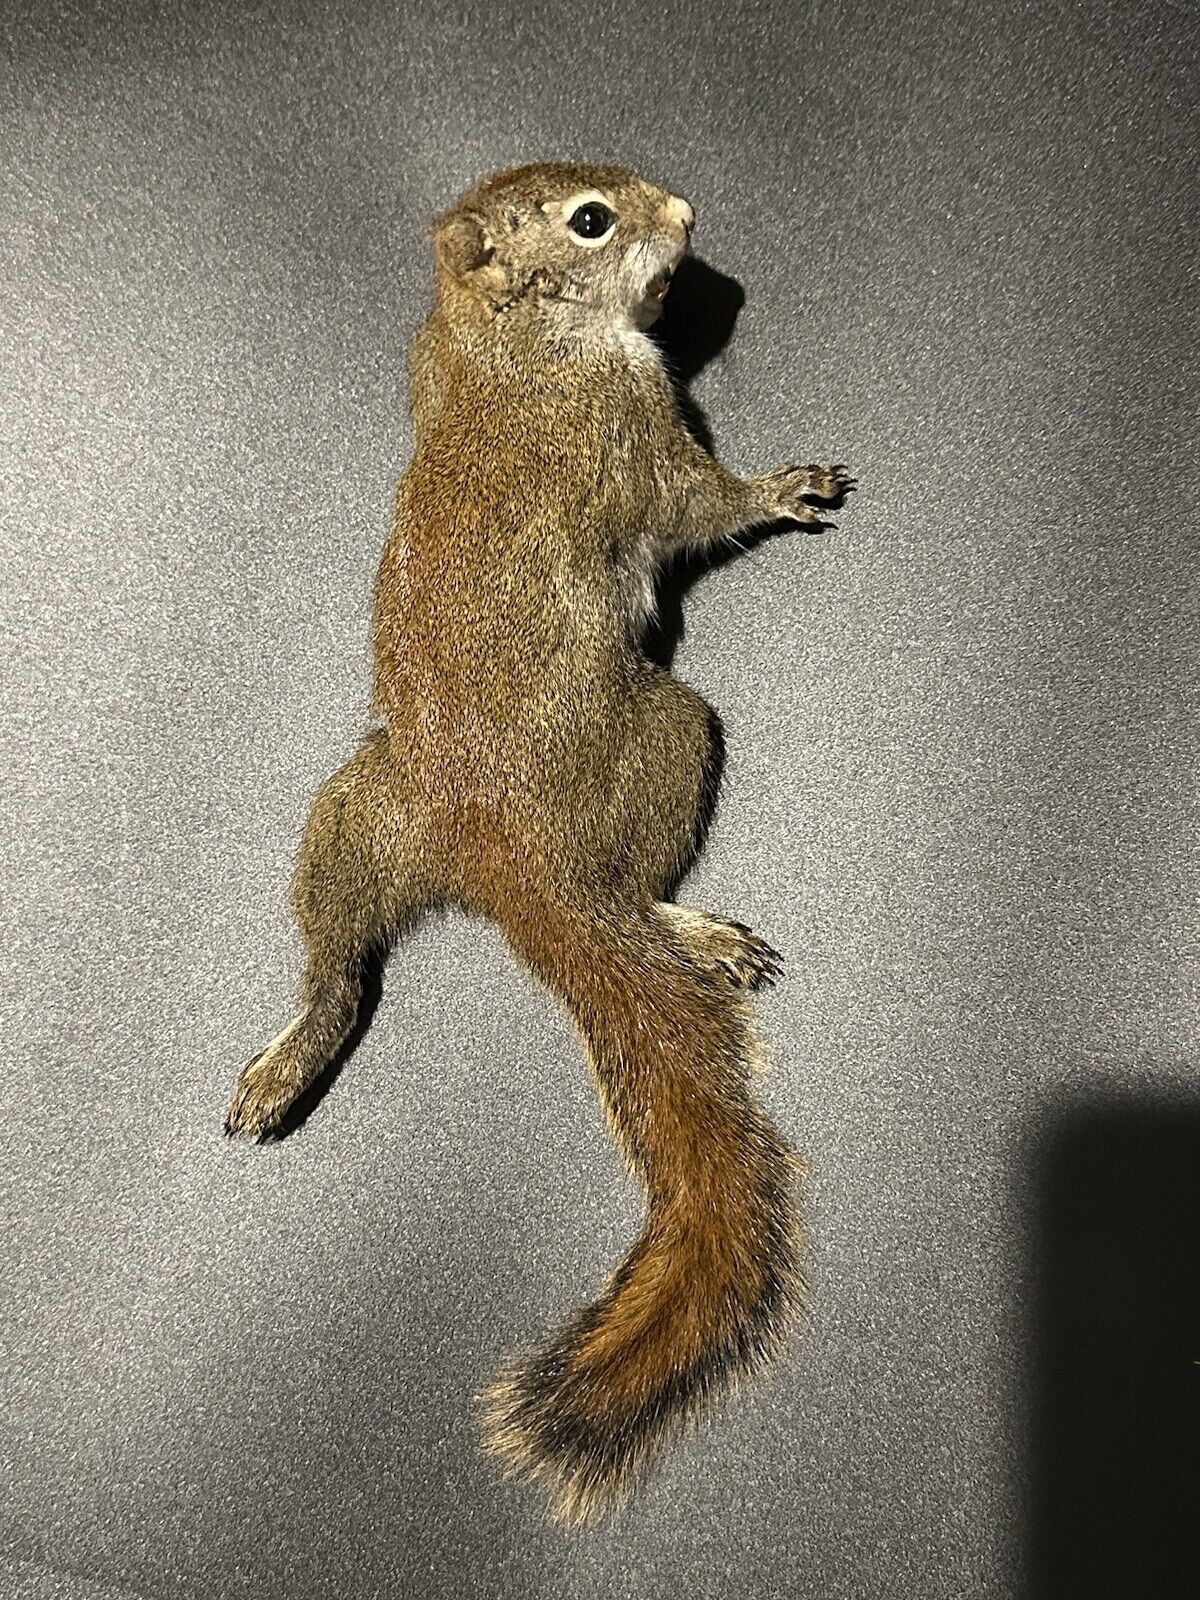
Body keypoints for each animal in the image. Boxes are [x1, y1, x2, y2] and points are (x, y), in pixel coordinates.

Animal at [225, 161, 852, 1524]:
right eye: (592, 219)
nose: (685, 216)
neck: (506, 342)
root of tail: (509, 859)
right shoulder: (629, 431)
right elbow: (697, 504)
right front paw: (780, 488)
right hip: (667, 735)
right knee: (634, 872)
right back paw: (687, 927)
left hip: (356, 812)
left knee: (339, 961)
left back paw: (292, 1052)